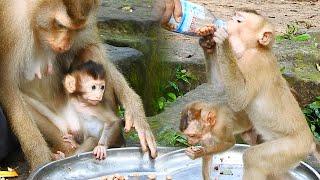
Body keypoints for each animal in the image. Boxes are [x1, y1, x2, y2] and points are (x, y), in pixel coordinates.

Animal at [0, 0, 157, 169]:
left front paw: (136, 113)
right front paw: (40, 160)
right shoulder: (11, 26)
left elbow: (90, 45)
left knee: (92, 50)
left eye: (76, 29)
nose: (64, 46)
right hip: (60, 129)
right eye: (60, 25)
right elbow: (8, 84)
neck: (33, 18)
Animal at [200, 9, 318, 179]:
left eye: (239, 21)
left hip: (292, 148)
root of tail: (310, 142)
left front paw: (223, 40)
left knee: (253, 158)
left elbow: (239, 98)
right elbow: (221, 86)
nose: (228, 21)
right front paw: (207, 42)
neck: (254, 49)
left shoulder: (255, 62)